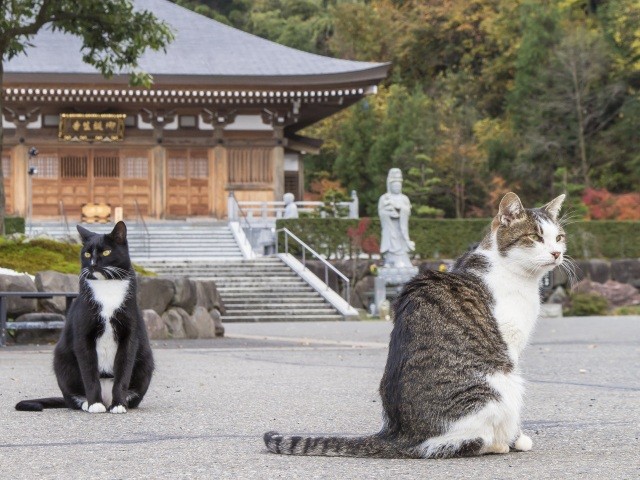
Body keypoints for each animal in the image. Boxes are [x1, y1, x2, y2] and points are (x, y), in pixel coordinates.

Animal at [15, 221, 154, 412]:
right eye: (87, 253)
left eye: (106, 252)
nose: (93, 264)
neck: (107, 287)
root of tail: (106, 399)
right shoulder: (83, 334)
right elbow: (89, 372)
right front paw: (95, 403)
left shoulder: (129, 334)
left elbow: (124, 369)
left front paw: (119, 404)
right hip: (62, 361)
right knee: (73, 396)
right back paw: (88, 403)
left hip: (146, 362)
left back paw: (118, 403)